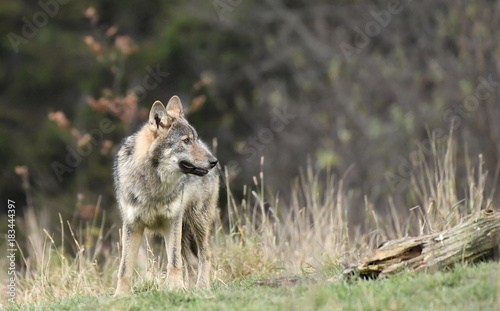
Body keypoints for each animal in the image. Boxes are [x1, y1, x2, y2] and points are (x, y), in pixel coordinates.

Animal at [115, 96, 221, 296]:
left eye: (193, 139)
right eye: (186, 141)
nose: (214, 161)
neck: (154, 187)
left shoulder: (172, 221)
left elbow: (174, 262)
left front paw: (175, 288)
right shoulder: (132, 225)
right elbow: (124, 268)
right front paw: (120, 295)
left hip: (197, 221)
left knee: (206, 255)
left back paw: (202, 287)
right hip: (185, 230)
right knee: (192, 262)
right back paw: (192, 289)